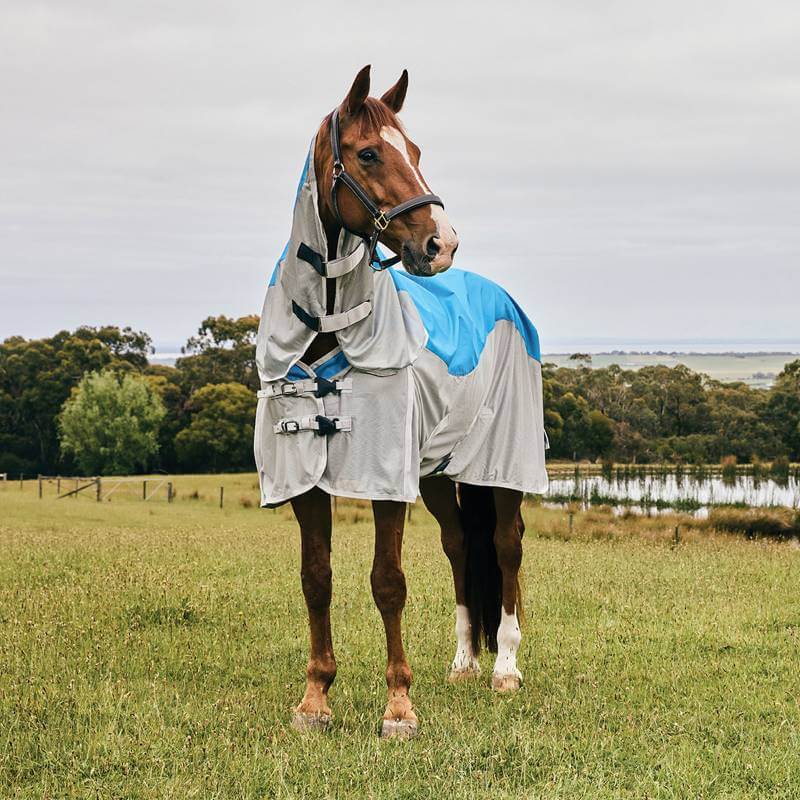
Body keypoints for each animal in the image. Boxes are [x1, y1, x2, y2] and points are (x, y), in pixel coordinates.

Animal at [254, 66, 548, 738]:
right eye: (368, 153)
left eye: (414, 151)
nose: (443, 244)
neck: (329, 324)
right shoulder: (306, 481)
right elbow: (316, 579)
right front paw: (316, 698)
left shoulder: (386, 478)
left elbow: (387, 582)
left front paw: (398, 707)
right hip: (438, 472)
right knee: (460, 547)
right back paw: (465, 661)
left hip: (504, 466)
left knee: (506, 547)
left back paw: (505, 668)